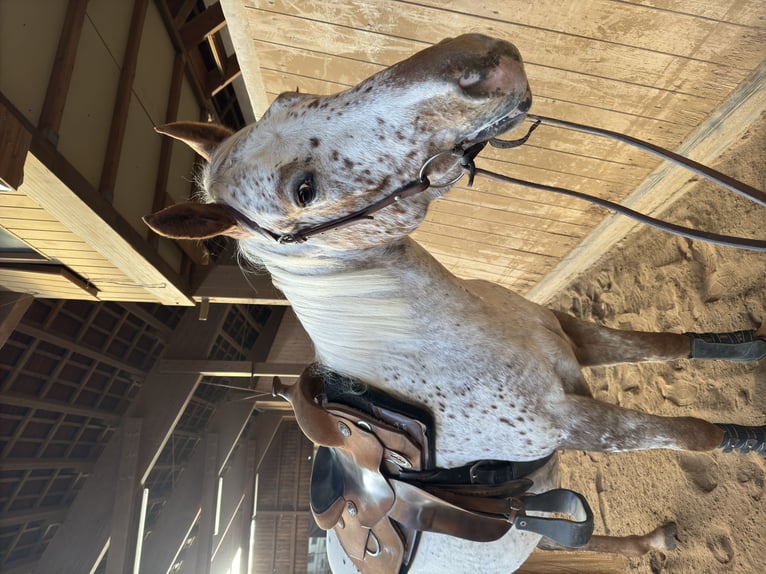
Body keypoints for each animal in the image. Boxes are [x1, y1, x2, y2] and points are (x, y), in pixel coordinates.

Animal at [146, 36, 766, 574]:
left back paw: (656, 540)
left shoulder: (572, 333)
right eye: (303, 191)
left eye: (290, 97)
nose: (478, 63)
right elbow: (697, 433)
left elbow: (671, 344)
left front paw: (748, 347)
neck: (442, 343)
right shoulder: (575, 423)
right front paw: (753, 442)